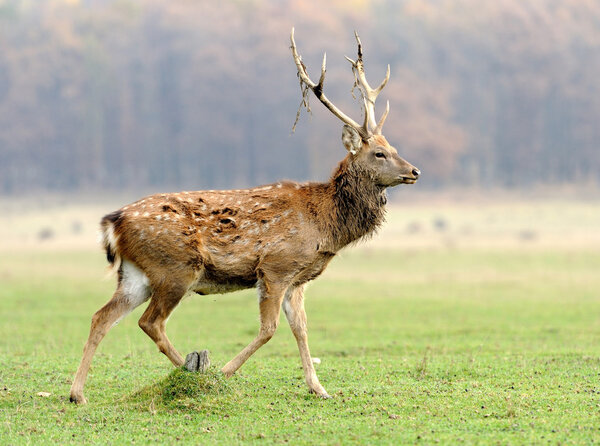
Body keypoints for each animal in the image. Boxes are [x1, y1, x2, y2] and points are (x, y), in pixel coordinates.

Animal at [69, 27, 418, 404]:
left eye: (394, 147)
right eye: (380, 153)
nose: (414, 171)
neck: (324, 225)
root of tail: (113, 221)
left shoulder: (297, 279)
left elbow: (301, 329)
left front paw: (319, 388)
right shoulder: (276, 266)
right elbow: (269, 329)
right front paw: (226, 371)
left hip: (136, 273)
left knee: (101, 317)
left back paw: (78, 393)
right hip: (175, 267)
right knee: (150, 322)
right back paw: (195, 373)